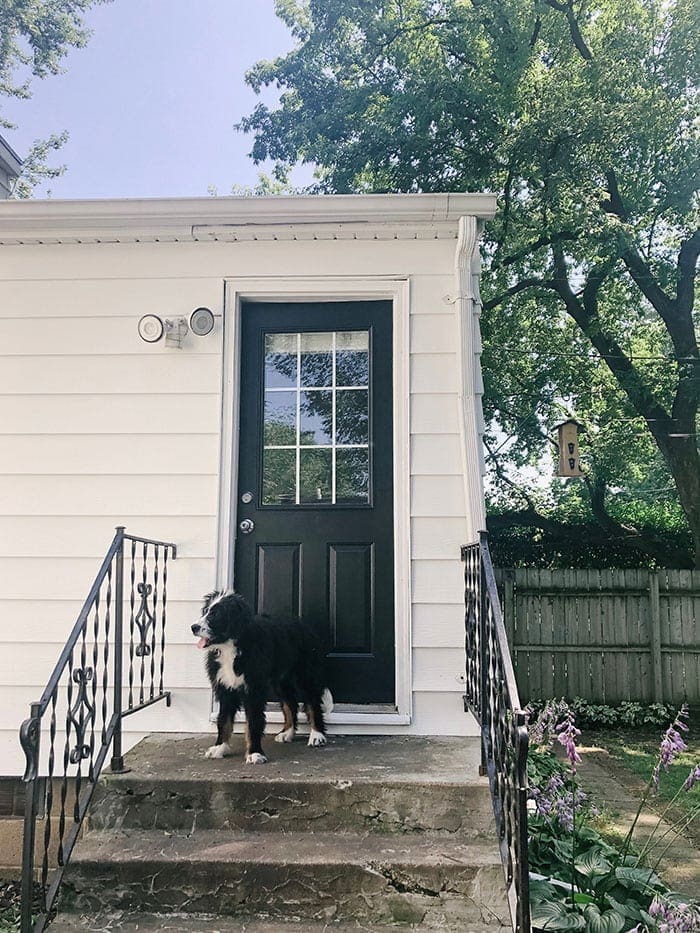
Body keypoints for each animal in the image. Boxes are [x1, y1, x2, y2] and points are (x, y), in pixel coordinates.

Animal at [191, 588, 334, 764]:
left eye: (215, 615)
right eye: (205, 611)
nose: (193, 627)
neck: (232, 647)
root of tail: (303, 624)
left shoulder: (254, 688)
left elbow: (253, 722)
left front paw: (254, 753)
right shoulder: (225, 688)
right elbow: (223, 720)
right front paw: (219, 747)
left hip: (305, 674)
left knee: (312, 702)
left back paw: (317, 735)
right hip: (280, 680)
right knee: (290, 703)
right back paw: (287, 732)